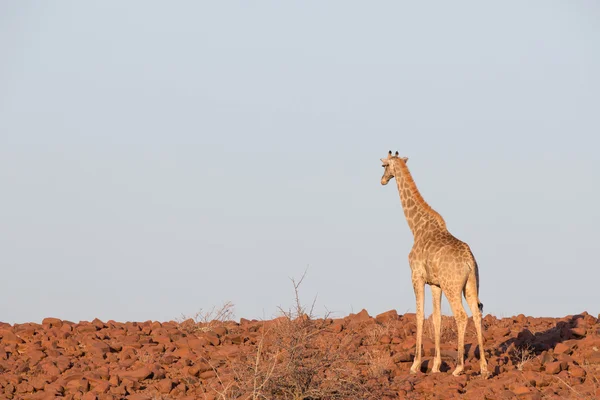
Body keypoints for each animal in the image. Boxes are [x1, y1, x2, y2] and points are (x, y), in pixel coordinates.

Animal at [382, 150, 490, 378]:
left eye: (383, 166)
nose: (383, 180)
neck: (416, 227)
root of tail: (469, 261)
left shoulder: (417, 276)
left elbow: (420, 315)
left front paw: (415, 365)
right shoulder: (434, 284)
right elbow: (437, 318)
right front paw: (435, 366)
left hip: (452, 287)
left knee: (461, 316)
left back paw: (458, 367)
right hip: (471, 284)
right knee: (477, 314)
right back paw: (484, 369)